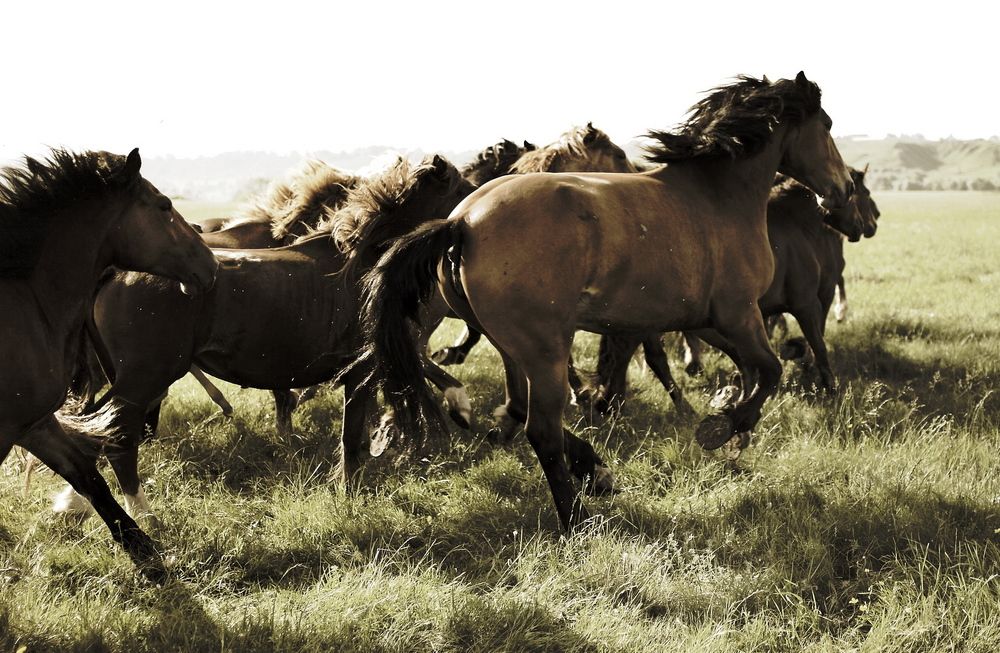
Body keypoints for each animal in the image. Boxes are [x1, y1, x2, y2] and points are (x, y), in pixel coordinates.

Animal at [0, 148, 217, 578]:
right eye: (164, 205)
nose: (211, 264)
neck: (26, 303)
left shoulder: (33, 422)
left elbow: (88, 476)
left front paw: (149, 557)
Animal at [52, 155, 476, 524]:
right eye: (462, 185)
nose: (476, 210)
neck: (360, 266)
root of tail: (115, 271)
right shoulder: (361, 373)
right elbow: (352, 440)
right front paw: (350, 497)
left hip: (132, 378)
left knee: (96, 428)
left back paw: (78, 502)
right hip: (146, 378)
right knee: (116, 438)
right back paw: (143, 515)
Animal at [590, 166, 880, 414]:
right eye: (863, 192)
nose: (868, 226)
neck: (795, 227)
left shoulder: (761, 313)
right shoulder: (807, 302)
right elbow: (818, 344)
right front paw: (830, 389)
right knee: (638, 354)